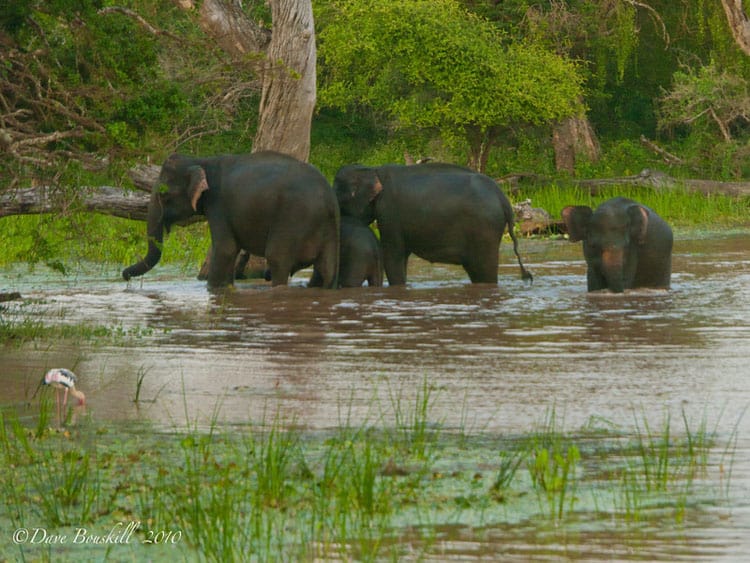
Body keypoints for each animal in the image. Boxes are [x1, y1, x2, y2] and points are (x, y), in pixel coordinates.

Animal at [122, 151, 340, 290]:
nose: (124, 277)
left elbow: (226, 249)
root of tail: (330, 200)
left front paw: (212, 290)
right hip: (329, 232)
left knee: (277, 259)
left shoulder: (218, 204)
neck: (202, 161)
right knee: (327, 268)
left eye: (163, 194)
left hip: (293, 219)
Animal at [332, 163, 532, 286]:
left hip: (485, 230)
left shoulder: (389, 211)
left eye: (339, 199)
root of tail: (503, 199)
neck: (373, 170)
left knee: (484, 271)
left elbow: (393, 254)